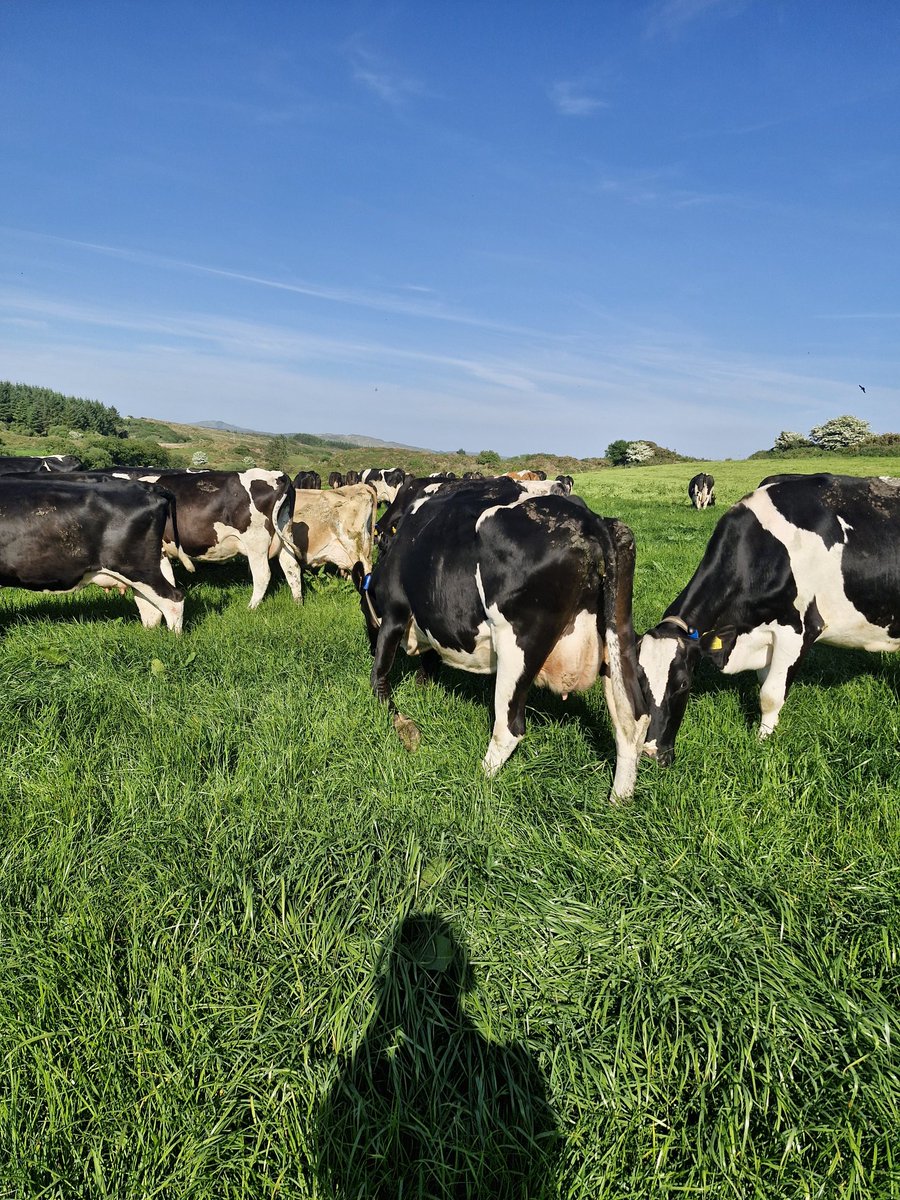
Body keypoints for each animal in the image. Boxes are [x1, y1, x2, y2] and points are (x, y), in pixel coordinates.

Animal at [96, 468, 303, 609]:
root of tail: (277, 475)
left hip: (255, 541)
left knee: (262, 574)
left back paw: (251, 607)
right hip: (284, 535)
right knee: (292, 568)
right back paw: (297, 602)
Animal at [352, 476, 649, 800]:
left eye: (364, 609)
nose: (368, 644)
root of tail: (589, 519)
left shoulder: (395, 611)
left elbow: (379, 674)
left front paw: (398, 719)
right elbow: (429, 663)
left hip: (516, 644)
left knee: (509, 727)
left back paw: (475, 782)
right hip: (617, 634)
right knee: (632, 719)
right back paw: (618, 800)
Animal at [638, 473, 900, 766]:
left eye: (684, 683)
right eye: (638, 681)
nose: (650, 753)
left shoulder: (798, 631)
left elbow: (771, 694)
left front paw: (763, 741)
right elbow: (765, 682)